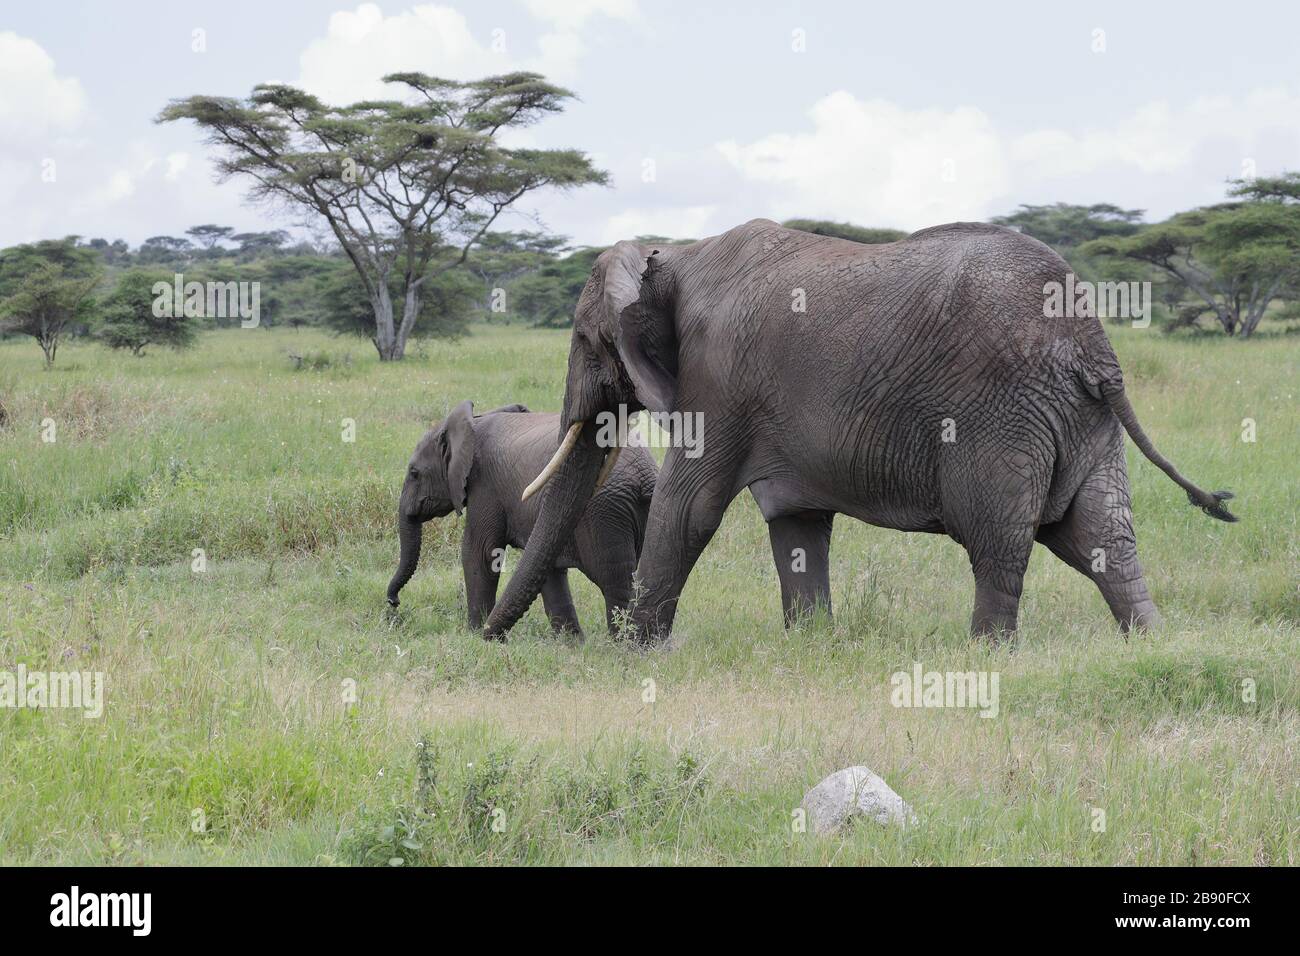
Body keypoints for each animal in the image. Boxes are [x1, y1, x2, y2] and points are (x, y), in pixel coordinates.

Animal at [379, 403, 655, 634]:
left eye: (414, 473)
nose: (394, 602)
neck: (474, 421)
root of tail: (643, 476)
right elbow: (548, 571)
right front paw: (571, 645)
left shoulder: (485, 485)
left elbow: (480, 551)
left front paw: (473, 636)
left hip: (602, 511)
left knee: (613, 581)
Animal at [483, 218, 1232, 642]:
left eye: (586, 341)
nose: (486, 640)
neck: (673, 256)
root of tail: (1092, 340)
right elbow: (796, 524)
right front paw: (812, 644)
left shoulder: (717, 380)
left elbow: (689, 507)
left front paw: (634, 653)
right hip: (1079, 416)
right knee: (1099, 536)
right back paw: (1148, 640)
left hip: (1001, 413)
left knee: (1000, 539)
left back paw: (988, 653)